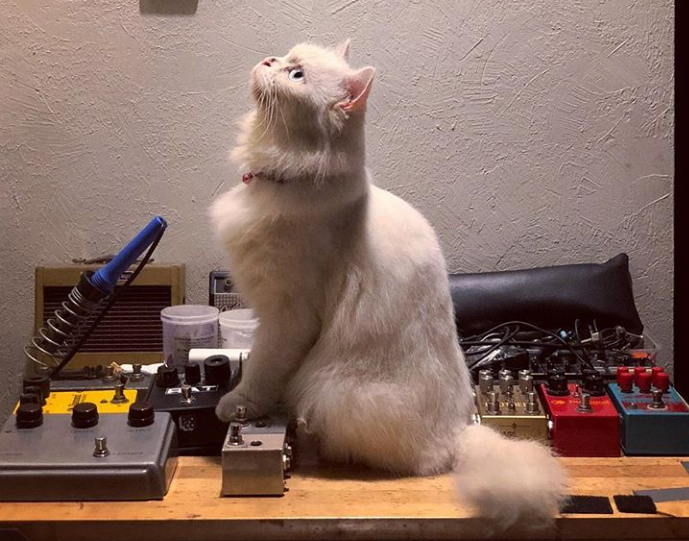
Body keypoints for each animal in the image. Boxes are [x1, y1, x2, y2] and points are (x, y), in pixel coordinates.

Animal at [210, 42, 564, 532]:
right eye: (284, 57)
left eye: (297, 75)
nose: (267, 63)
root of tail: (462, 432)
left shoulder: (287, 316)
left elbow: (262, 370)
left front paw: (240, 404)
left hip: (332, 388)